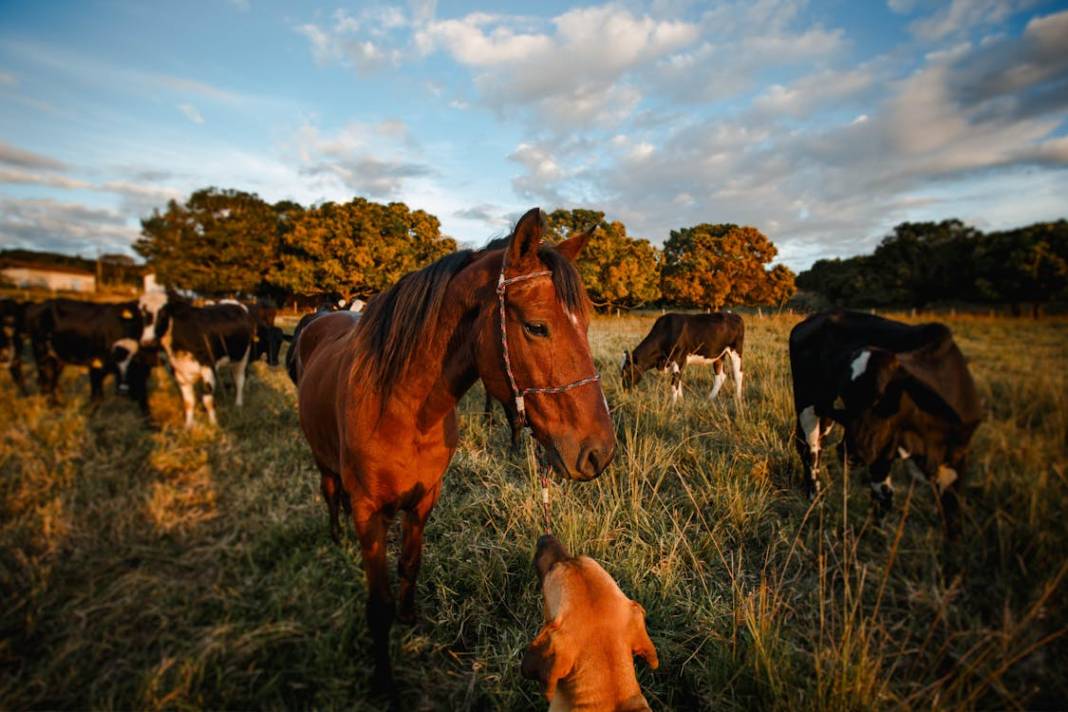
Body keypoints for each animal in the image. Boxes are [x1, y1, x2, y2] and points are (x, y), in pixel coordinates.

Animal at [139, 292, 254, 426]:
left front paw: (213, 424)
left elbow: (208, 400)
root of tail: (231, 301)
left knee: (239, 380)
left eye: (163, 313)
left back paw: (238, 404)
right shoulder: (179, 371)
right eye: (142, 315)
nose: (147, 342)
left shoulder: (208, 366)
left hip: (243, 357)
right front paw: (188, 426)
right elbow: (188, 402)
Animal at [292, 209, 615, 691]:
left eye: (587, 326)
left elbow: (410, 565)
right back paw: (335, 538)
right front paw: (385, 681)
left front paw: (409, 618)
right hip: (324, 461)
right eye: (536, 326)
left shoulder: (425, 498)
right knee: (330, 493)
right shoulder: (369, 509)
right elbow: (377, 603)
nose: (599, 452)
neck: (401, 407)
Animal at [790, 309, 978, 538]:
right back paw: (815, 500)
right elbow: (884, 496)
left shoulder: (958, 455)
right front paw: (878, 535)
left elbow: (952, 511)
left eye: (885, 399)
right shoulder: (881, 451)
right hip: (808, 403)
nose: (851, 453)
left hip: (823, 411)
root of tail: (812, 319)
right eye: (846, 397)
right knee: (810, 450)